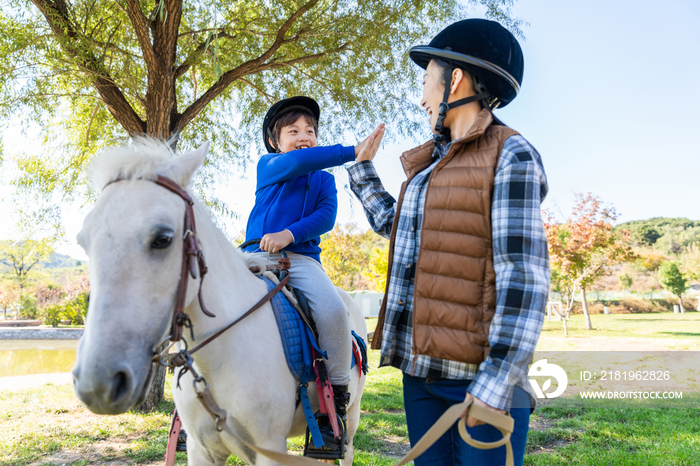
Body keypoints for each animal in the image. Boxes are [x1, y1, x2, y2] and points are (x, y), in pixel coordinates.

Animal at [72, 140, 370, 466]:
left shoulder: (270, 449)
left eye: (163, 238)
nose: (98, 383)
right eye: (83, 241)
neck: (219, 358)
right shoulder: (202, 450)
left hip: (351, 421)